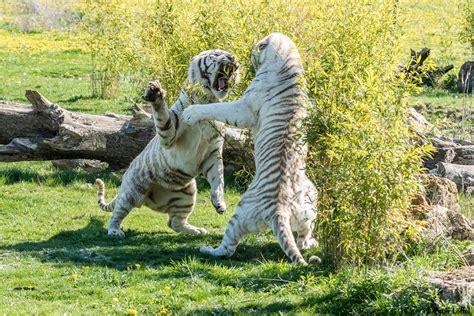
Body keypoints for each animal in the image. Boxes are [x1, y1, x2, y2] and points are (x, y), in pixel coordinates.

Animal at [95, 50, 241, 237]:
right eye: (216, 54)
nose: (232, 58)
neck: (207, 101)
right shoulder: (169, 137)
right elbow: (163, 119)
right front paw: (156, 94)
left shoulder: (212, 153)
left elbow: (219, 178)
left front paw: (219, 203)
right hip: (133, 190)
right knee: (118, 212)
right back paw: (115, 231)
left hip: (187, 194)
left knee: (174, 223)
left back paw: (196, 230)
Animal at [181, 32, 318, 264]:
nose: (241, 58)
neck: (290, 60)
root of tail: (279, 211)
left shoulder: (244, 107)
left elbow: (217, 108)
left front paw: (190, 113)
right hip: (310, 205)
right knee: (301, 238)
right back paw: (311, 243)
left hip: (241, 212)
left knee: (227, 247)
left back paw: (208, 249)